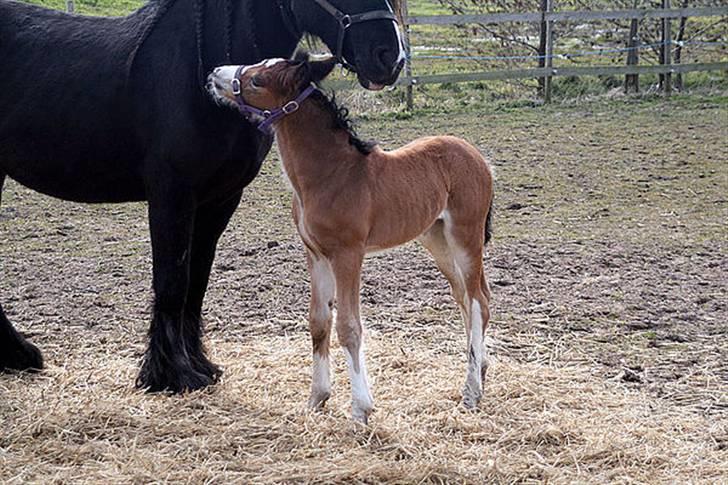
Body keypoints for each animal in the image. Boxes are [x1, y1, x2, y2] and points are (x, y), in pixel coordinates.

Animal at [0, 0, 404, 392]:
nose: (389, 56)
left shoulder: (219, 200)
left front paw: (197, 363)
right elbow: (172, 281)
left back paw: (18, 355)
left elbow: (197, 282)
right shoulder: (172, 195)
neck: (195, 75)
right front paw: (171, 374)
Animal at [208, 55, 498, 420]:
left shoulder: (348, 254)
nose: (214, 74)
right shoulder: (315, 254)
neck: (330, 175)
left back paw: (472, 391)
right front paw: (316, 399)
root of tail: (480, 158)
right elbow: (319, 321)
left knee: (477, 302)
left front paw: (361, 407)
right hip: (436, 239)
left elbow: (348, 326)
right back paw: (481, 370)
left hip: (465, 236)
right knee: (465, 297)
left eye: (258, 80)